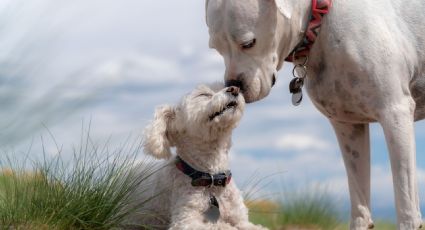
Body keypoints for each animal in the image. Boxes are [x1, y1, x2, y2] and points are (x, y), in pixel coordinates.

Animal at [131, 83, 266, 230]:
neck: (212, 181)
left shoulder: (242, 219)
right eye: (204, 95)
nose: (234, 88)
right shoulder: (185, 220)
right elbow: (220, 225)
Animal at [204, 0, 422, 229]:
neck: (320, 21)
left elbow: (407, 205)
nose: (233, 85)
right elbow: (360, 204)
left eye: (248, 43)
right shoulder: (348, 128)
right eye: (216, 49)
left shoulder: (395, 113)